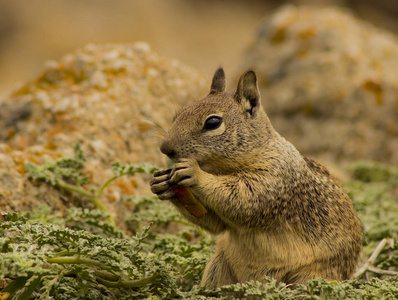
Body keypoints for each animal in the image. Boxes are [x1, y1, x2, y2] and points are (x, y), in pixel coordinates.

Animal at [148, 67, 360, 290]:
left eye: (213, 123)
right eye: (179, 114)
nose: (165, 148)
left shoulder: (274, 177)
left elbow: (242, 199)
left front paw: (194, 172)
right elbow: (215, 223)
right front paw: (161, 185)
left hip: (309, 275)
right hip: (218, 268)